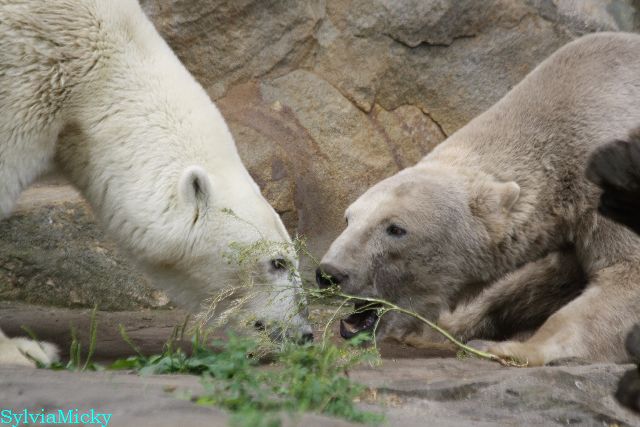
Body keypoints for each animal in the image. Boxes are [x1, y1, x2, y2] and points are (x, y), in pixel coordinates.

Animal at [316, 32, 640, 366]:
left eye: (396, 229)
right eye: (348, 218)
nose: (330, 273)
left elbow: (625, 277)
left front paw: (509, 348)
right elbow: (533, 282)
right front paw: (436, 330)